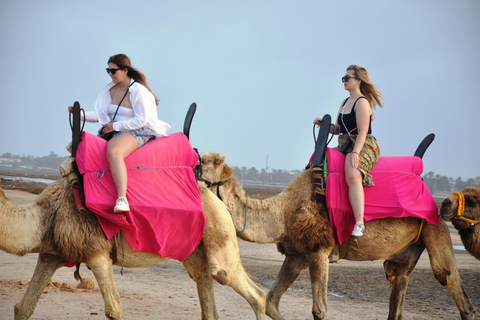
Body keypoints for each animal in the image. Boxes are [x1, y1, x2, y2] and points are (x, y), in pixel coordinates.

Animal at [0, 176, 266, 318]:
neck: (44, 215)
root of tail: (220, 202)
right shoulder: (51, 254)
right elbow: (23, 307)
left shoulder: (97, 253)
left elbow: (114, 310)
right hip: (196, 253)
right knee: (207, 297)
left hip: (220, 232)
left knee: (250, 290)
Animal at [196, 116, 476, 320]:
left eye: (200, 167)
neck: (284, 210)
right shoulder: (296, 255)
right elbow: (272, 302)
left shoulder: (319, 250)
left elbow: (319, 310)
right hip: (405, 253)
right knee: (398, 288)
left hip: (434, 225)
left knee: (451, 282)